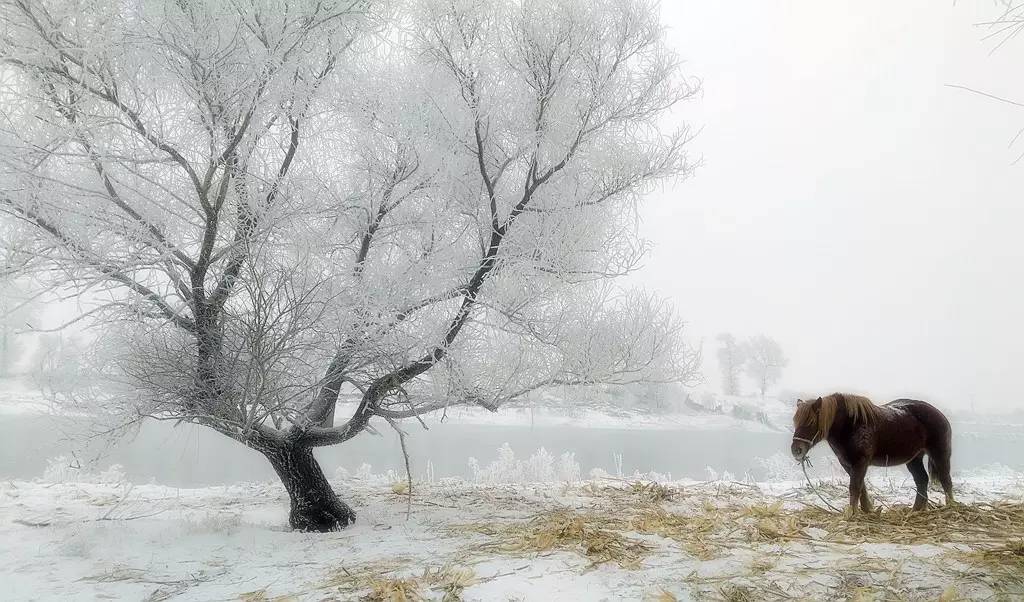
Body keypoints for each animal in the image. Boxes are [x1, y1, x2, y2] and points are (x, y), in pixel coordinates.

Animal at [790, 393, 950, 516]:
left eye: (811, 422)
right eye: (795, 421)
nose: (796, 450)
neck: (850, 426)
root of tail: (939, 414)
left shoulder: (860, 462)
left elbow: (855, 487)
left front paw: (852, 514)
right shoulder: (848, 464)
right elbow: (861, 487)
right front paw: (868, 510)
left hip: (940, 454)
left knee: (945, 480)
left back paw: (951, 507)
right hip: (914, 459)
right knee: (921, 480)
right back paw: (915, 511)